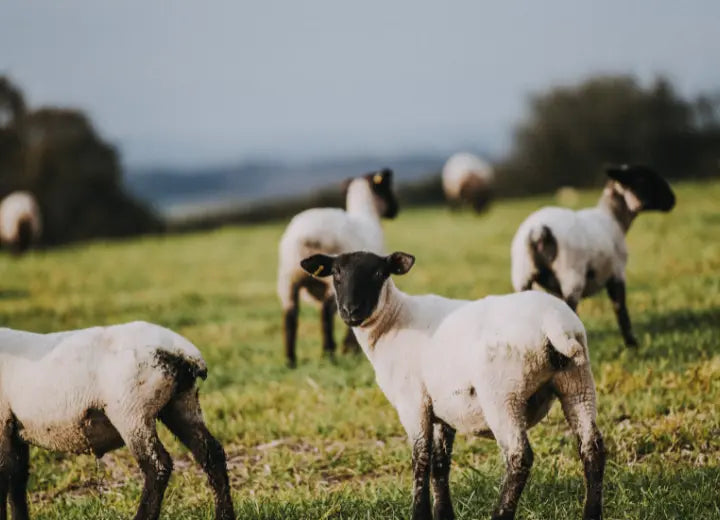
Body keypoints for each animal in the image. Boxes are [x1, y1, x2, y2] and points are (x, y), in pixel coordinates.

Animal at [0, 321, 234, 520]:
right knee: (211, 453)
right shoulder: (13, 429)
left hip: (131, 410)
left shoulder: (2, 424)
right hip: (181, 404)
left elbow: (5, 476)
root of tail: (182, 352)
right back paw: (224, 515)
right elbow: (17, 480)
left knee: (158, 466)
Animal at [277, 168, 398, 367]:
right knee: (326, 314)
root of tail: (307, 236)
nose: (395, 211)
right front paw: (350, 348)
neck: (367, 215)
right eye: (386, 187)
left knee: (290, 317)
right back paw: (329, 353)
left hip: (288, 280)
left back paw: (290, 360)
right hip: (329, 280)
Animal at [300, 250, 605, 520]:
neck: (392, 322)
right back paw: (591, 514)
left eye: (378, 273)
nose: (350, 311)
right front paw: (444, 514)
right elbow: (440, 464)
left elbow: (420, 460)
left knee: (519, 457)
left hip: (502, 394)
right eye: (336, 274)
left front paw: (420, 514)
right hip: (578, 382)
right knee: (592, 449)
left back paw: (499, 515)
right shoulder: (442, 409)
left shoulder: (413, 403)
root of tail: (552, 322)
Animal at [511, 164, 676, 347]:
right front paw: (632, 343)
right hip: (571, 276)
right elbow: (621, 309)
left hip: (523, 277)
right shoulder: (617, 273)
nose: (672, 200)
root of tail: (538, 231)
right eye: (645, 178)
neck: (614, 218)